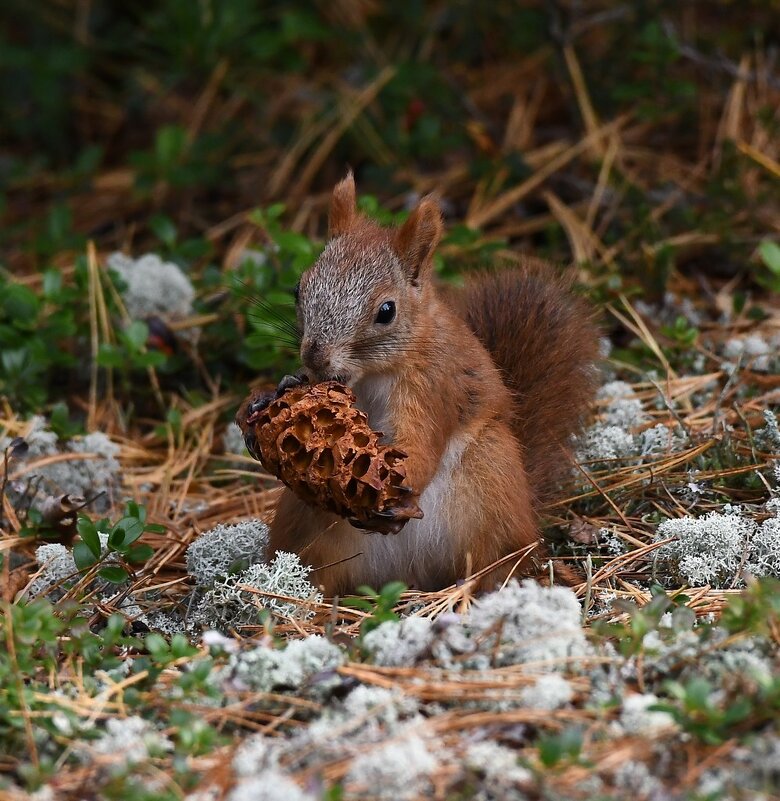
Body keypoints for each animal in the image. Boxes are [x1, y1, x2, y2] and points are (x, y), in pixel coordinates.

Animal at [250, 172, 596, 592]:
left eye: (387, 311)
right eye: (299, 289)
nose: (314, 356)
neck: (374, 375)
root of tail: (410, 576)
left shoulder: (434, 387)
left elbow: (421, 442)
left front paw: (398, 482)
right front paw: (273, 394)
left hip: (492, 481)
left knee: (498, 557)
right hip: (303, 520)